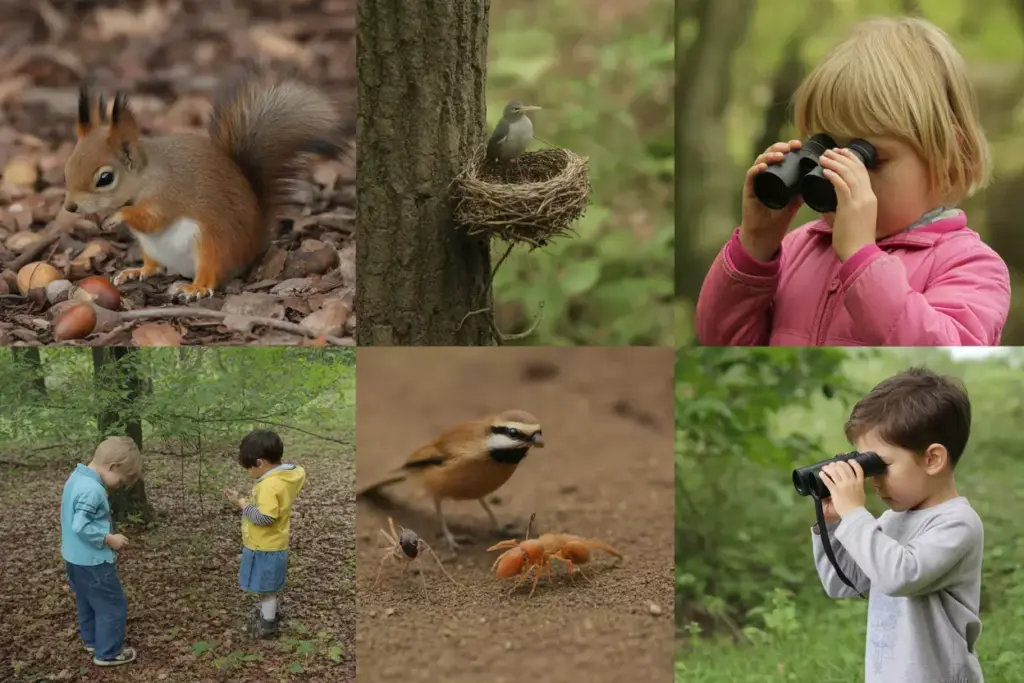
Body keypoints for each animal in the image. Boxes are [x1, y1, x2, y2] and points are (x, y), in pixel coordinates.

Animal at [63, 68, 350, 301]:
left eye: (105, 178)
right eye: (68, 166)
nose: (70, 207)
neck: (145, 176)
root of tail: (251, 247)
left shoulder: (166, 194)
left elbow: (153, 220)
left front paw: (117, 216)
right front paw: (96, 219)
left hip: (211, 242)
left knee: (211, 271)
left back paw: (196, 288)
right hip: (151, 248)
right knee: (155, 267)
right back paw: (136, 271)